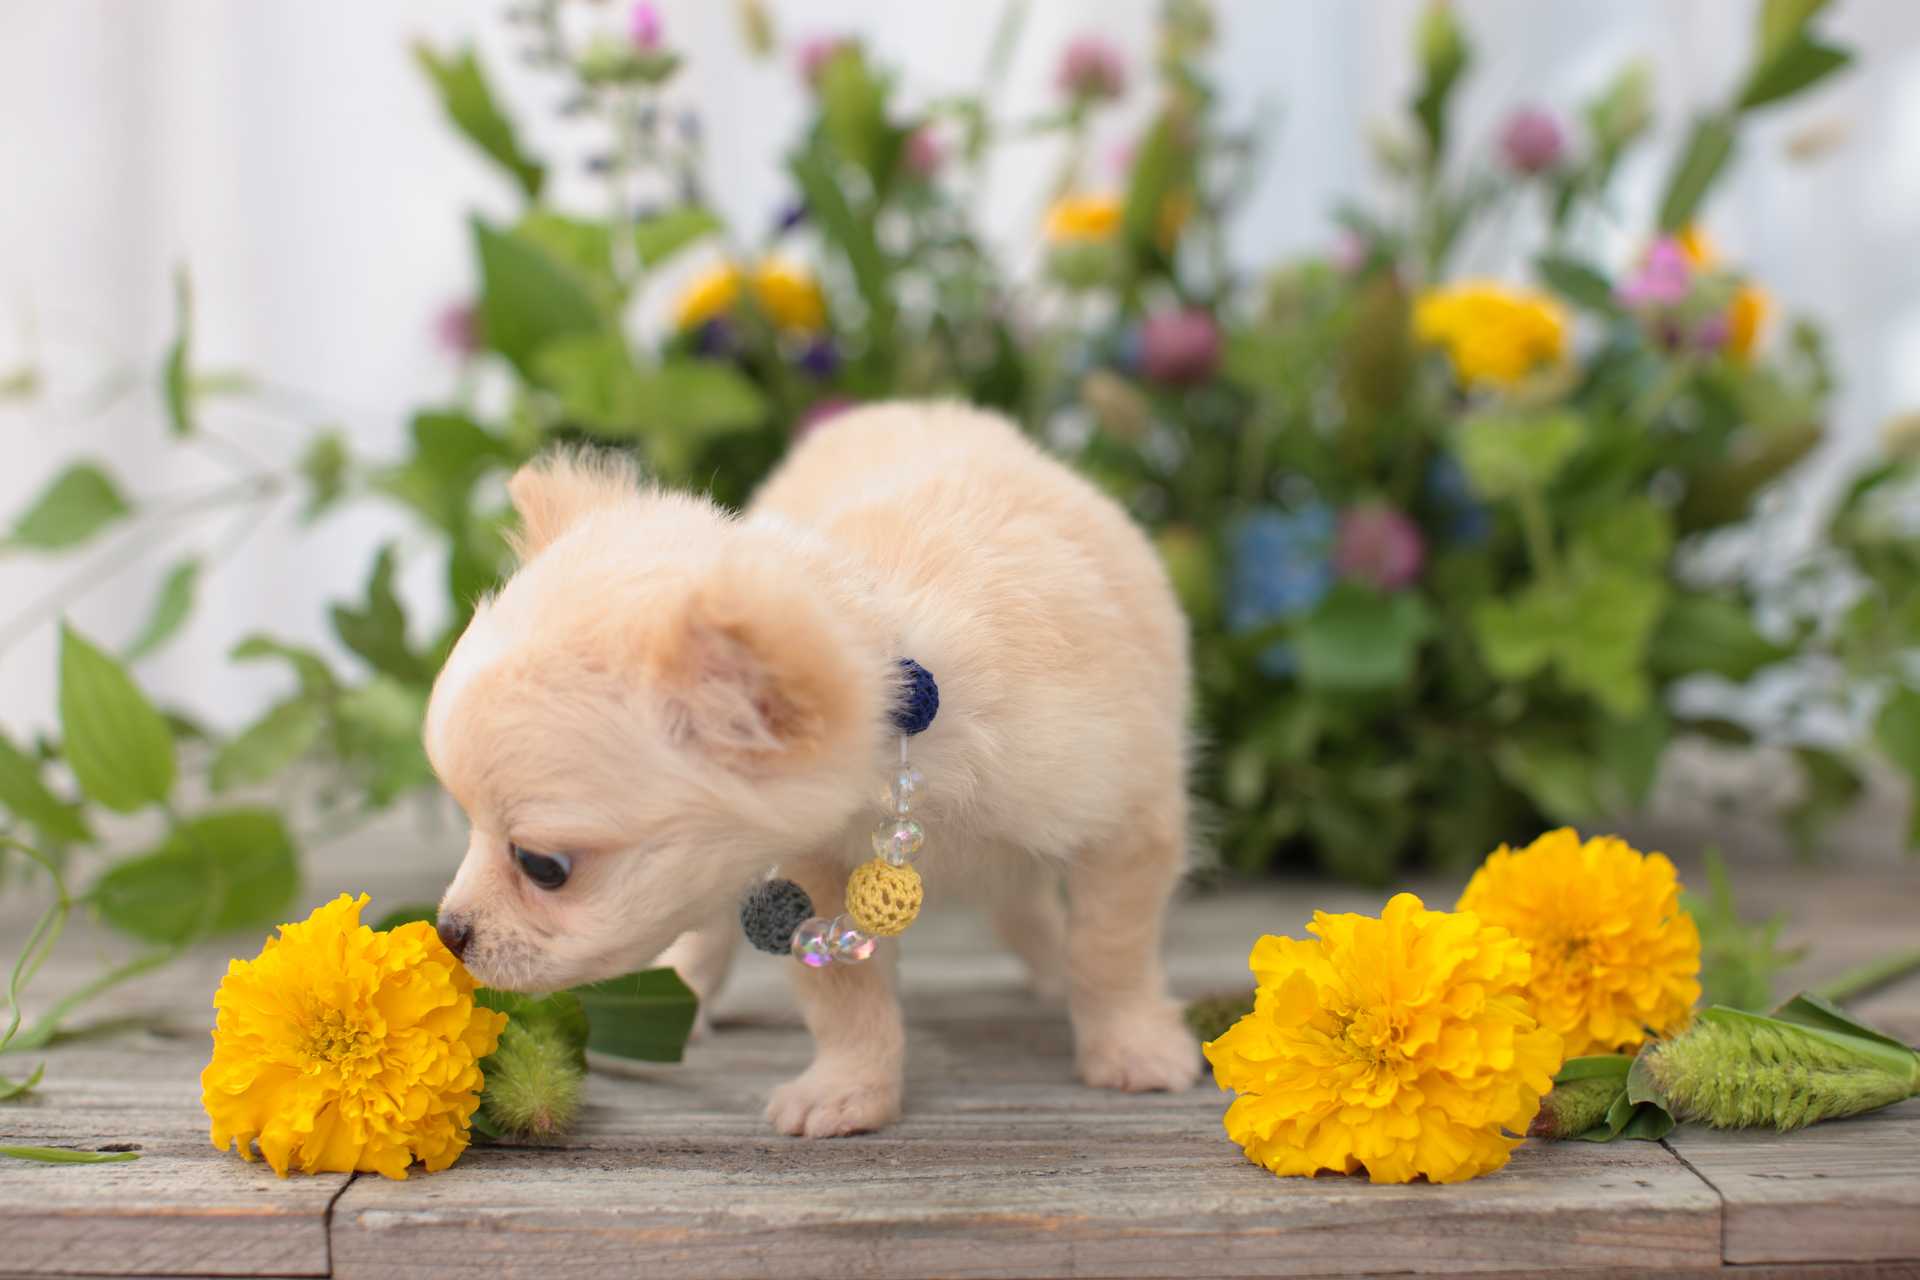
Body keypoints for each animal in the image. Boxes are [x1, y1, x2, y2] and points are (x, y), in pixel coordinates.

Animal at [428, 404, 1190, 1136]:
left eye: (542, 867)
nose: (447, 932)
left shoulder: (1127, 821)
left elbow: (1111, 951)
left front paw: (1131, 1046)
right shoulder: (818, 872)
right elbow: (845, 1001)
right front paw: (851, 1092)